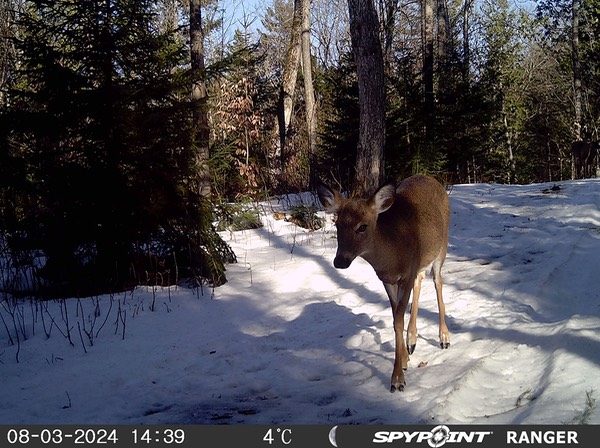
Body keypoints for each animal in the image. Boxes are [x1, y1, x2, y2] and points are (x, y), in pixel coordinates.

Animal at [317, 175, 451, 392]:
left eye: (362, 226)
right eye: (337, 225)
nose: (340, 261)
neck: (392, 253)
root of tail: (430, 178)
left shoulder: (405, 275)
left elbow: (398, 319)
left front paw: (397, 380)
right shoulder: (388, 279)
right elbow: (396, 318)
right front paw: (404, 360)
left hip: (442, 244)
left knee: (437, 280)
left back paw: (444, 338)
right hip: (420, 263)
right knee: (420, 280)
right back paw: (412, 341)